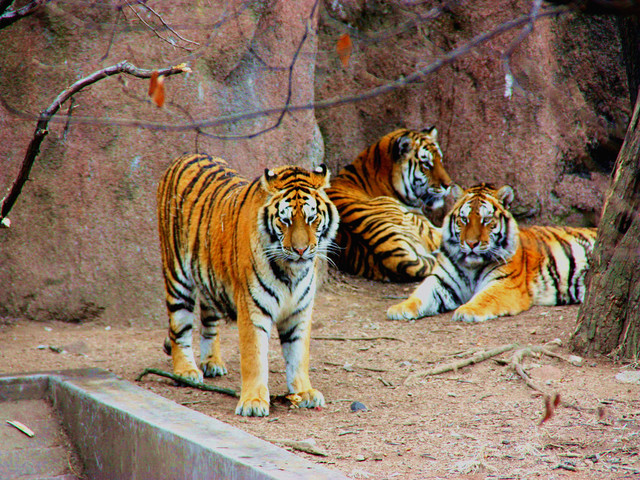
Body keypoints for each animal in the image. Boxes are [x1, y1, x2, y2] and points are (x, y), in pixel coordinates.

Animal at [157, 155, 340, 416]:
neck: (291, 271)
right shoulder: (252, 307)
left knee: (209, 320)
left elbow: (298, 355)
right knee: (179, 328)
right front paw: (253, 401)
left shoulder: (299, 310)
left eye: (311, 218)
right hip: (177, 276)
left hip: (210, 279)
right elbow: (254, 356)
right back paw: (186, 371)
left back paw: (212, 362)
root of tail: (184, 157)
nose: (301, 250)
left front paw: (304, 392)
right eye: (285, 220)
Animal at [384, 184, 600, 322]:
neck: (471, 265)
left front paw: (467, 310)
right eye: (464, 219)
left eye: (486, 220)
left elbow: (485, 297)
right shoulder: (441, 280)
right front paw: (400, 308)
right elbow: (420, 294)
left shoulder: (505, 283)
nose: (471, 243)